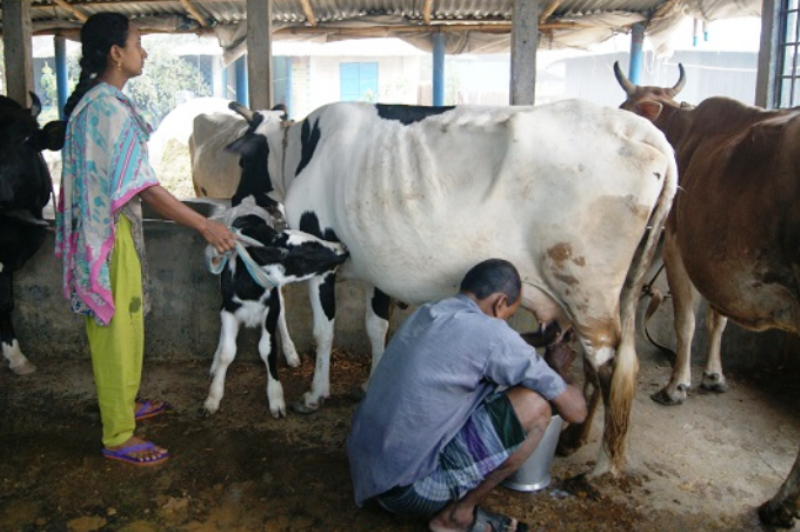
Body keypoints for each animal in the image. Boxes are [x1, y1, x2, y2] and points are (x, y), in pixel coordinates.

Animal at [203, 197, 346, 418]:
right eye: (310, 249)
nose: (342, 247)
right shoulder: (228, 309)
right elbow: (228, 351)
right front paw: (213, 396)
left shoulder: (271, 308)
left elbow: (267, 349)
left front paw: (276, 397)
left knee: (283, 315)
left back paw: (291, 353)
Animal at [227, 101, 680, 478]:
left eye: (244, 156)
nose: (234, 204)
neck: (299, 152)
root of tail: (641, 129)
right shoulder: (375, 266)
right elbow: (376, 328)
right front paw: (371, 385)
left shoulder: (323, 258)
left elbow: (324, 333)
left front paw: (315, 394)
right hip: (605, 296)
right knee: (598, 367)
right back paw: (573, 440)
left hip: (585, 288)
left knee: (611, 367)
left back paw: (604, 466)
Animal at [620, 62, 800, 528]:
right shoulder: (717, 263)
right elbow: (717, 318)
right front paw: (713, 375)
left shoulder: (677, 243)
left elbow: (688, 320)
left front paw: (677, 384)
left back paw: (780, 503)